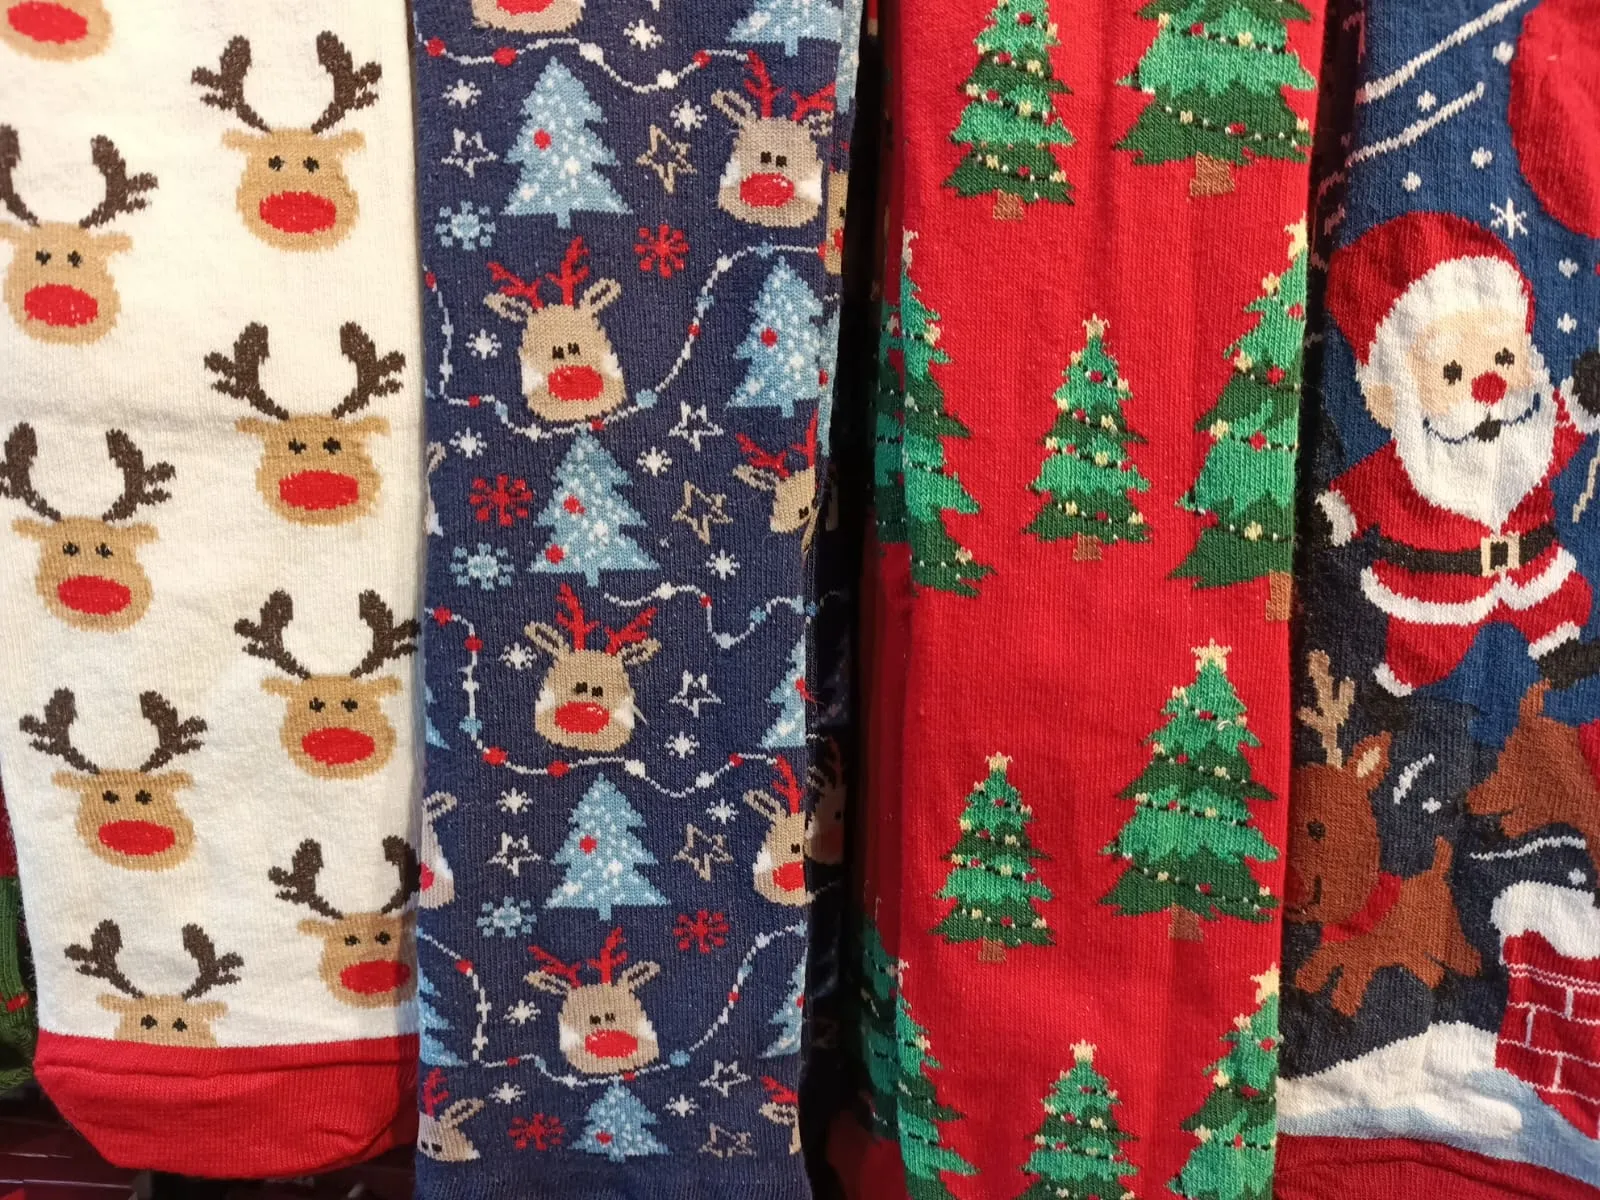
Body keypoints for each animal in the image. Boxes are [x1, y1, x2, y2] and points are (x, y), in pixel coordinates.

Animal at [1286, 650, 1480, 1018]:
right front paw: (1304, 987)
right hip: (1414, 952)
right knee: (1427, 969)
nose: (1289, 886)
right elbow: (1314, 971)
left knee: (1456, 955)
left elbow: (1347, 989)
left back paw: (1472, 968)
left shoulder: (1360, 963)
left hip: (1445, 934)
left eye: (1317, 827)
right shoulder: (1331, 953)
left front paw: (1342, 1011)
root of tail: (1435, 872)